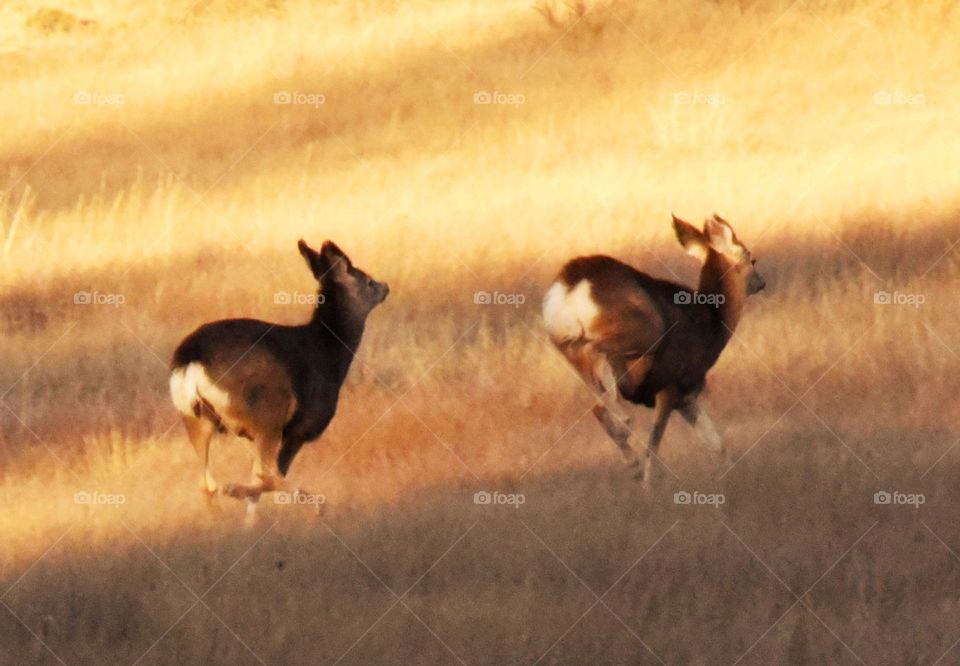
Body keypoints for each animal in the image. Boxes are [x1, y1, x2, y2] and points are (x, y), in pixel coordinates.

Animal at [169, 239, 389, 522]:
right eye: (368, 281)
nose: (385, 287)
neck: (330, 352)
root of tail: (190, 357)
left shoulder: (250, 434)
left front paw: (250, 524)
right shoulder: (301, 427)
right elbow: (269, 476)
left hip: (196, 418)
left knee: (207, 483)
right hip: (268, 411)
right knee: (265, 473)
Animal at [542, 214, 765, 485]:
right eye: (751, 257)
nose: (762, 283)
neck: (713, 322)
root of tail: (573, 283)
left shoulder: (687, 397)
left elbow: (717, 443)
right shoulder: (670, 386)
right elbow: (654, 447)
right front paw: (648, 485)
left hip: (562, 343)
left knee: (594, 390)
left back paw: (627, 449)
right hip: (645, 332)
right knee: (600, 361)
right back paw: (625, 426)